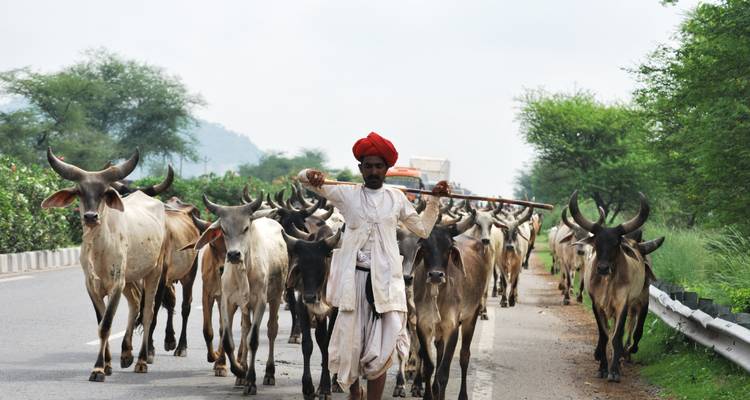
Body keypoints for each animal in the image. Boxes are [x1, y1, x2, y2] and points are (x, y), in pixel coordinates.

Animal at [42, 148, 166, 382]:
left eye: (104, 192)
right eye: (80, 192)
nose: (91, 217)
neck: (99, 248)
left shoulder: (116, 284)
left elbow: (106, 325)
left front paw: (98, 369)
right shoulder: (92, 286)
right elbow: (100, 323)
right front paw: (106, 365)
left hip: (154, 272)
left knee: (147, 314)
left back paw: (142, 361)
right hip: (130, 278)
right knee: (135, 304)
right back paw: (126, 355)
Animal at [193, 195, 287, 395]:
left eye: (245, 228)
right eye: (223, 229)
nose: (234, 255)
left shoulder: (260, 302)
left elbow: (253, 340)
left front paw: (250, 381)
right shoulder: (227, 302)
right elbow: (227, 339)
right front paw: (239, 371)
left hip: (276, 297)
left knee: (271, 330)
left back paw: (269, 373)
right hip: (245, 306)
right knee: (245, 330)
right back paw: (241, 374)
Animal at [281, 227, 342, 400]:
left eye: (321, 264)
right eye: (301, 266)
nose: (310, 297)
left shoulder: (335, 311)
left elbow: (329, 345)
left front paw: (326, 388)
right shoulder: (303, 308)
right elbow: (308, 345)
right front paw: (308, 388)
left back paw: (336, 382)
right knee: (320, 339)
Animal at [411, 213, 488, 400]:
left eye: (448, 248)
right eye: (425, 247)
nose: (436, 275)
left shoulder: (452, 327)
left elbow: (443, 373)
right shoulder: (423, 325)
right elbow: (429, 366)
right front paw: (429, 395)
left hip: (471, 318)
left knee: (464, 357)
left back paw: (463, 395)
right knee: (439, 351)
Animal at [568, 190, 658, 382]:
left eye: (616, 243)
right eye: (596, 243)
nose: (602, 268)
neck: (607, 282)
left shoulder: (622, 305)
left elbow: (617, 336)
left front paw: (615, 370)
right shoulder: (596, 305)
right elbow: (604, 335)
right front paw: (602, 368)